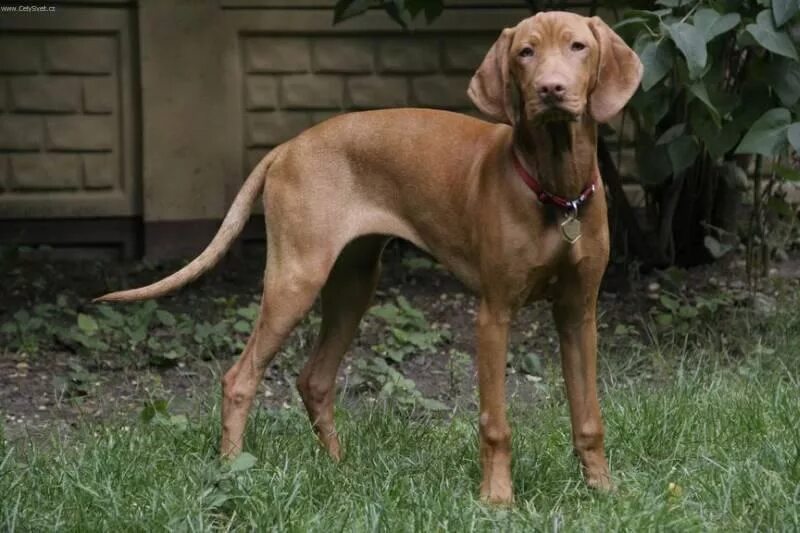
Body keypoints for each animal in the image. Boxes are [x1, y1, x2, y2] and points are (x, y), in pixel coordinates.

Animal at [95, 11, 644, 502]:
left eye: (578, 47)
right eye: (525, 52)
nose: (551, 89)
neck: (557, 193)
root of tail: (287, 146)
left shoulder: (579, 314)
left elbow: (589, 416)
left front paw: (603, 491)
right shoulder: (494, 313)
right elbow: (495, 423)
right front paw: (497, 499)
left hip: (354, 284)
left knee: (314, 379)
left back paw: (337, 468)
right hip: (295, 280)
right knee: (240, 378)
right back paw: (232, 472)